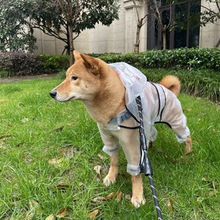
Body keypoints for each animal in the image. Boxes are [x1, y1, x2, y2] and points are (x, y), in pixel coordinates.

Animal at [49, 50, 191, 208]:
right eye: (66, 76)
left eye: (74, 78)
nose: (51, 93)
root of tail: (165, 87)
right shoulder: (108, 137)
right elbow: (113, 161)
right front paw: (111, 177)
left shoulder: (131, 142)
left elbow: (135, 174)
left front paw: (138, 195)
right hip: (147, 123)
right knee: (151, 134)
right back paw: (149, 146)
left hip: (175, 122)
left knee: (187, 135)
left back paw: (188, 151)